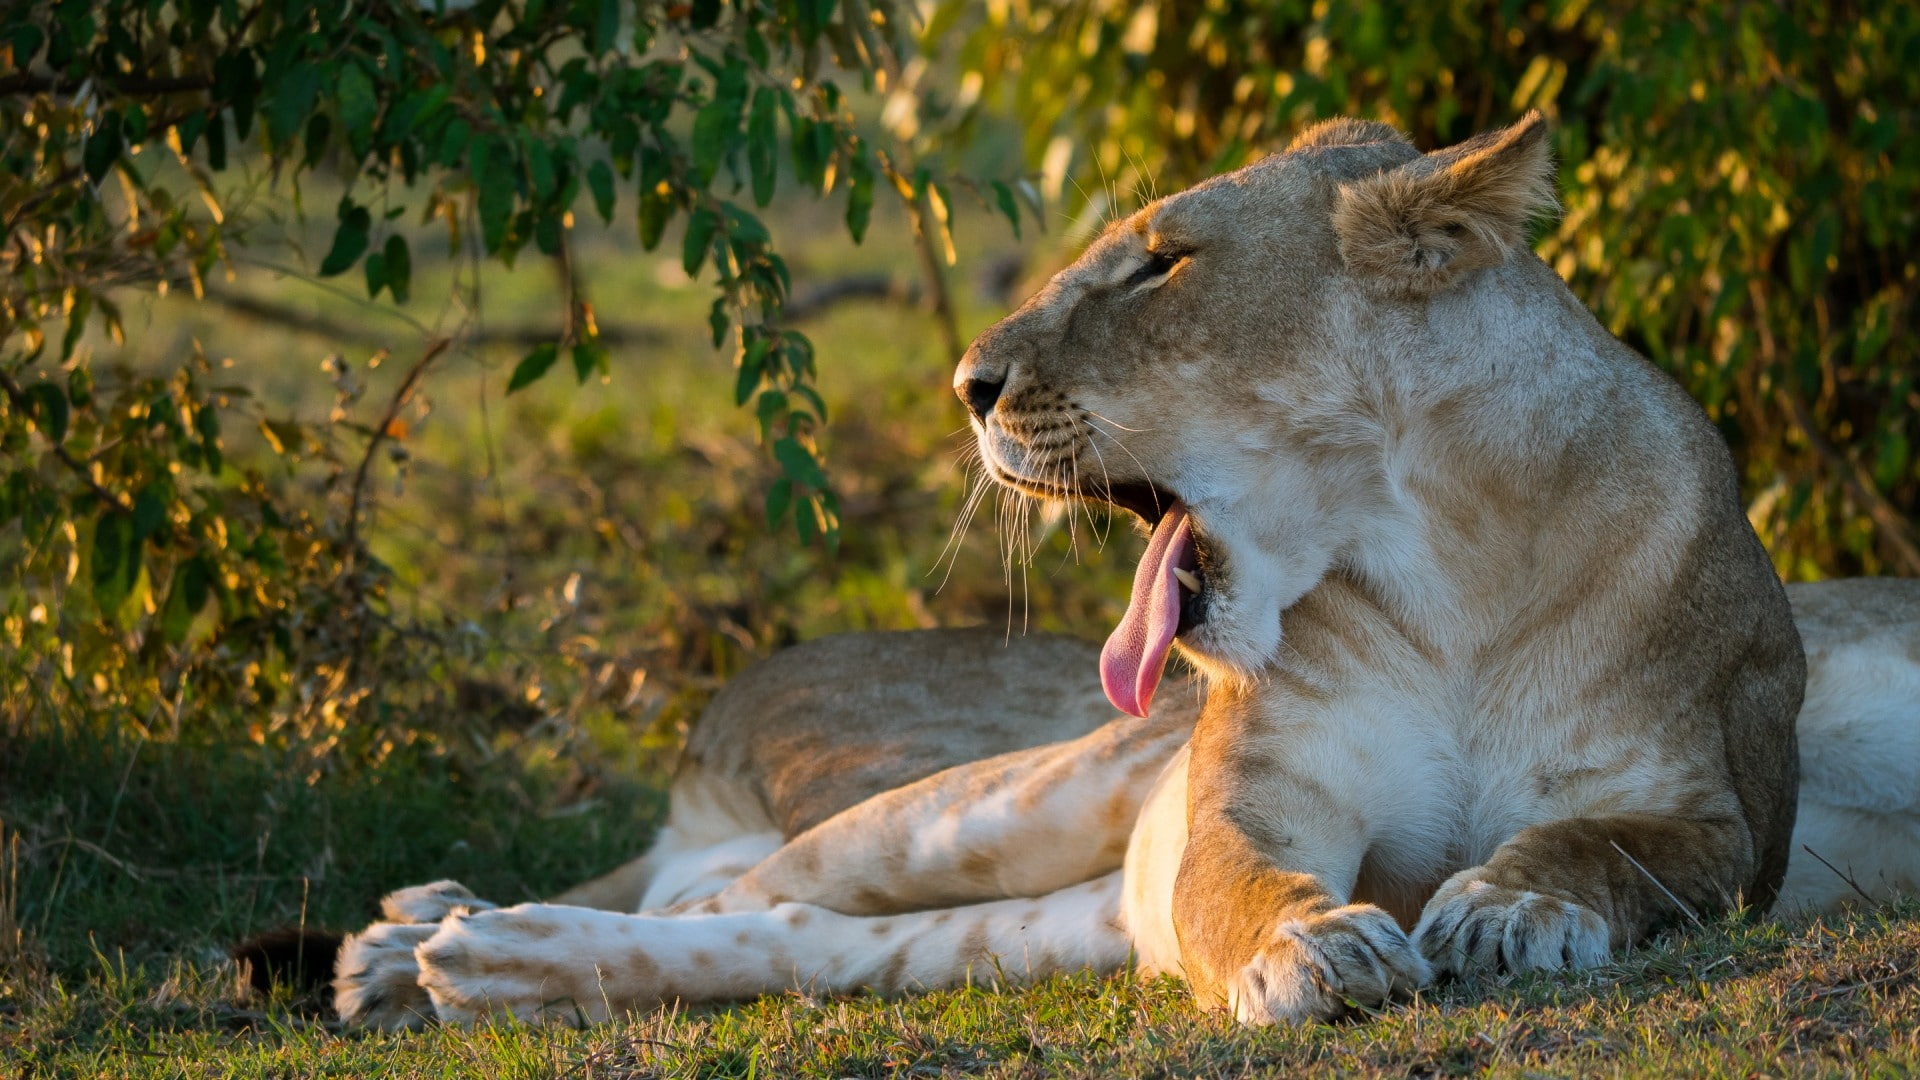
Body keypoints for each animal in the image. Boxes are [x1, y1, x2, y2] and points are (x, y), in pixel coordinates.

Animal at [324, 114, 1920, 1029]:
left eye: (1160, 263)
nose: (967, 383)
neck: (1442, 569)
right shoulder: (1246, 795)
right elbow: (1243, 882)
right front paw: (1317, 950)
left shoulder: (1715, 809)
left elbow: (1603, 850)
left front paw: (1508, 909)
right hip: (1003, 801)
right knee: (733, 893)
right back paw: (421, 942)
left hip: (1014, 924)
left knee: (787, 940)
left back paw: (471, 965)